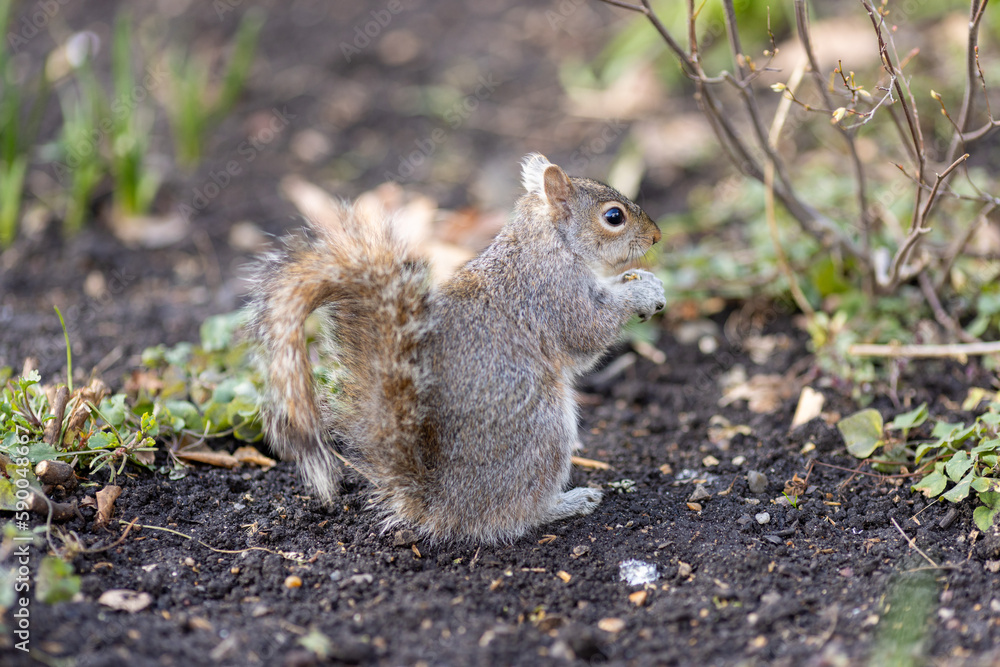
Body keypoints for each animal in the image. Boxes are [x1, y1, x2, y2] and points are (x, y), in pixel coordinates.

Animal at [247, 153, 665, 544]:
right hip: (543, 429)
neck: (548, 240)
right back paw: (567, 503)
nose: (657, 237)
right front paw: (641, 292)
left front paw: (642, 279)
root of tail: (442, 504)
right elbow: (587, 333)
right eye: (614, 216)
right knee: (513, 515)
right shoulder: (552, 292)